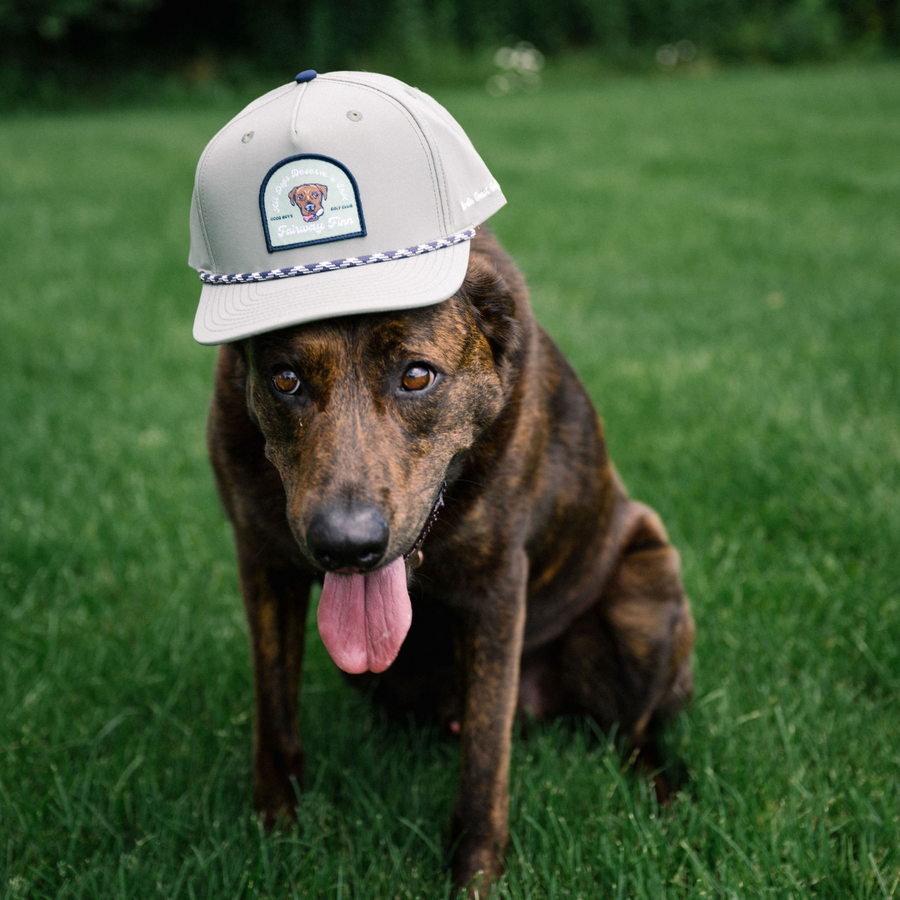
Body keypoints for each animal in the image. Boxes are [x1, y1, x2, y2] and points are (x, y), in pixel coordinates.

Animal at [206, 227, 696, 892]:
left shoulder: (495, 590)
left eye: (417, 376)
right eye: (285, 379)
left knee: (637, 729)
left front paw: (475, 875)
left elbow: (486, 755)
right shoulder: (262, 564)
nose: (347, 546)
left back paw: (664, 795)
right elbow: (273, 710)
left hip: (646, 590)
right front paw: (275, 833)